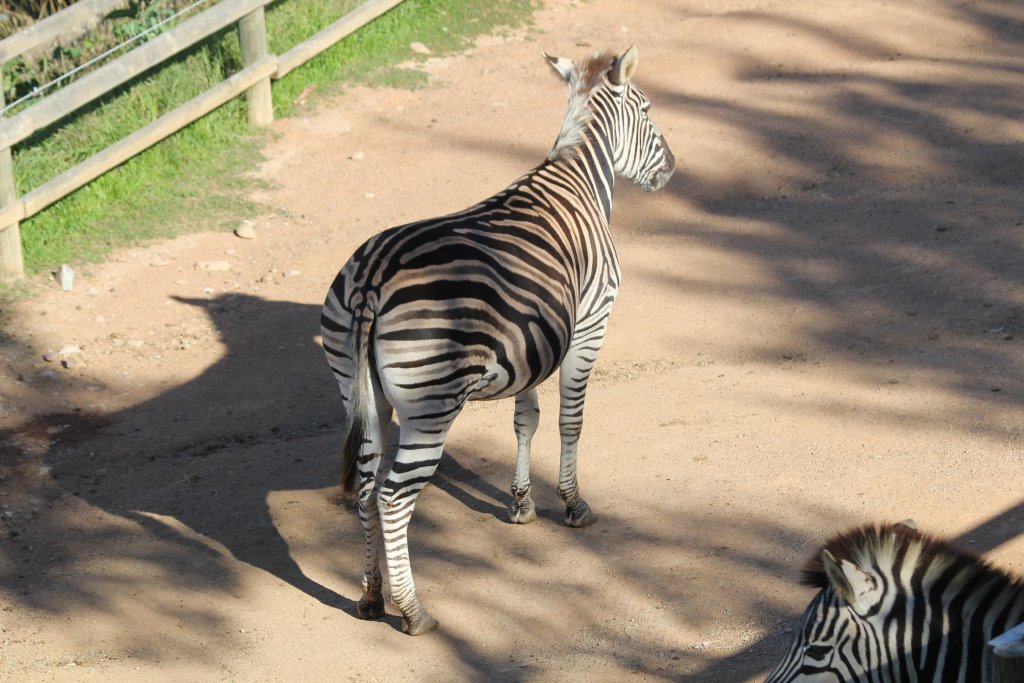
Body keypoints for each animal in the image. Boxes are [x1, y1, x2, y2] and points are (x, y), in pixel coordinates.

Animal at [319, 45, 674, 635]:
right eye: (647, 109)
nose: (673, 166)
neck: (577, 177)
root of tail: (372, 277)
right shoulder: (589, 326)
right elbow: (570, 420)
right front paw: (572, 506)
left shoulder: (529, 344)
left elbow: (525, 420)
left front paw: (521, 504)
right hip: (431, 404)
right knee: (392, 499)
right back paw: (414, 612)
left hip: (360, 393)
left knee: (367, 490)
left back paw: (370, 597)